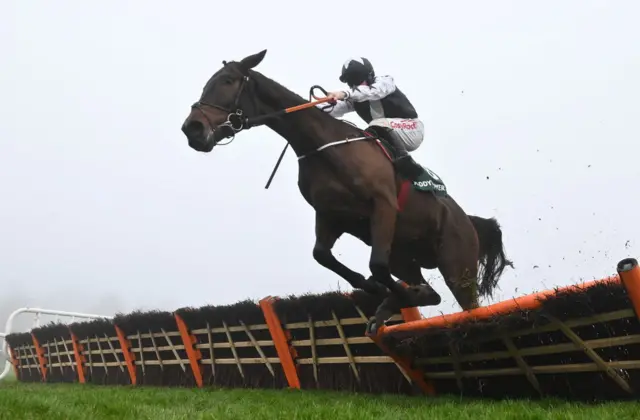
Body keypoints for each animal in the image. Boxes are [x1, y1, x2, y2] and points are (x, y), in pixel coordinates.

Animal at [181, 49, 516, 332]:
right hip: (405, 256)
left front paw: (392, 293)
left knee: (466, 303)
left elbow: (376, 266)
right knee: (422, 285)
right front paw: (380, 291)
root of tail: (468, 220)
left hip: (458, 267)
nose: (192, 129)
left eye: (227, 81)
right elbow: (323, 256)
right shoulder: (332, 216)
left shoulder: (383, 205)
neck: (321, 144)